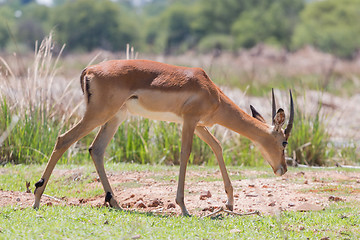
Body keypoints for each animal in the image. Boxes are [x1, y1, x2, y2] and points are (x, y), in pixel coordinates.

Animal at [32, 59, 294, 216]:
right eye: (284, 141)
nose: (283, 169)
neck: (211, 91)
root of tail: (90, 70)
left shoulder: (198, 125)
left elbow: (217, 147)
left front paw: (229, 202)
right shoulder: (189, 121)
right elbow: (185, 154)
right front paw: (184, 207)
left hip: (116, 116)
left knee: (96, 149)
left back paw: (115, 202)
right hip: (99, 114)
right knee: (63, 139)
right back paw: (36, 198)